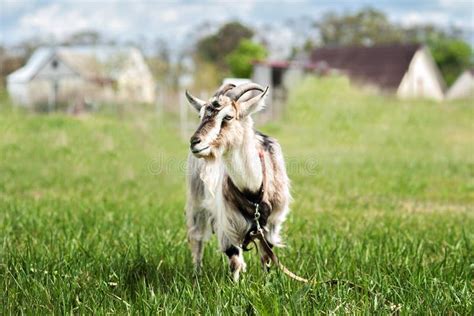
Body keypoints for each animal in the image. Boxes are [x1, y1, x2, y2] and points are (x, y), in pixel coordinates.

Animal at [184, 82, 288, 280]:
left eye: (228, 117)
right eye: (200, 115)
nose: (195, 142)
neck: (252, 190)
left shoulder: (273, 222)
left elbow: (267, 256)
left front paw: (267, 281)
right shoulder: (227, 222)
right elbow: (234, 260)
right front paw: (235, 285)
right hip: (197, 202)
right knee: (197, 239)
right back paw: (196, 275)